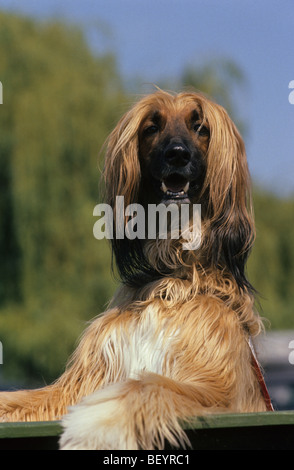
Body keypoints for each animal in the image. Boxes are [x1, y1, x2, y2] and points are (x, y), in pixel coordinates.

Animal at [0, 90, 274, 450]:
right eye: (152, 127)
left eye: (200, 126)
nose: (177, 155)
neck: (171, 275)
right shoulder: (83, 381)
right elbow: (21, 400)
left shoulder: (222, 393)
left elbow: (145, 385)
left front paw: (92, 429)